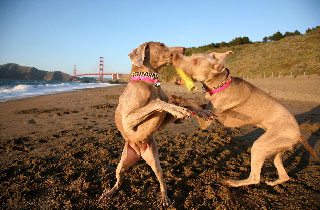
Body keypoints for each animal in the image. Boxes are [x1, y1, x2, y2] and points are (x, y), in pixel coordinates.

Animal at [171, 51, 316, 188]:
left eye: (195, 61)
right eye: (192, 56)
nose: (174, 55)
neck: (219, 84)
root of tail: (298, 132)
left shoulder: (208, 119)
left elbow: (194, 104)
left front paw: (178, 99)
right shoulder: (208, 109)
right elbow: (197, 106)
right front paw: (179, 114)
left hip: (260, 146)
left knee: (255, 178)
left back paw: (233, 183)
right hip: (275, 151)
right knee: (284, 175)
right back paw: (272, 183)